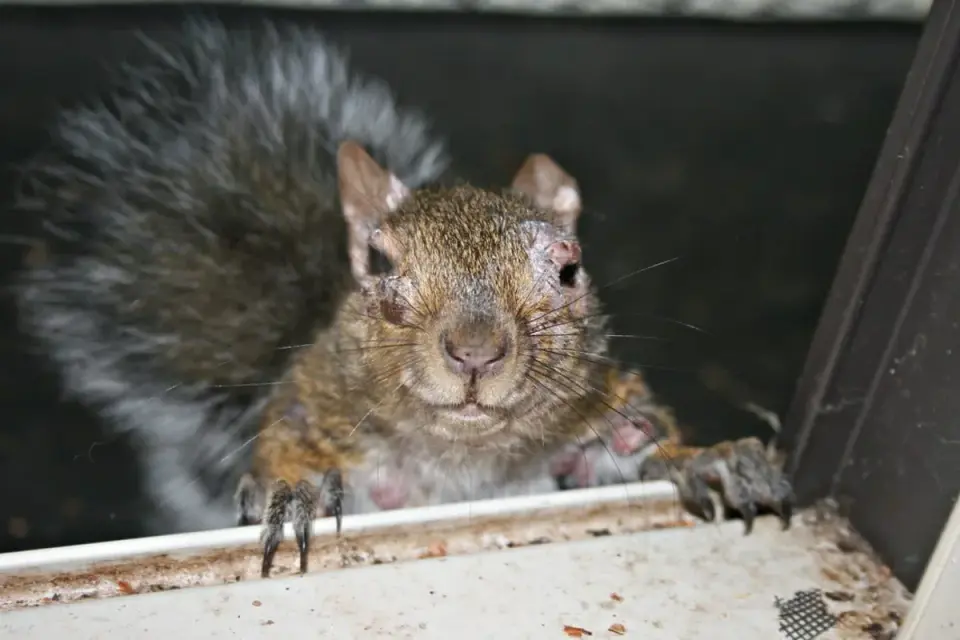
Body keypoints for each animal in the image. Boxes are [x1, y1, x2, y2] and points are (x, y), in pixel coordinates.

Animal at [14, 19, 793, 577]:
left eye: (571, 270)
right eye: (380, 263)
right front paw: (294, 491)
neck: (462, 454)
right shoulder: (313, 411)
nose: (474, 353)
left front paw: (710, 458)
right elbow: (287, 454)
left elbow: (635, 449)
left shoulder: (594, 428)